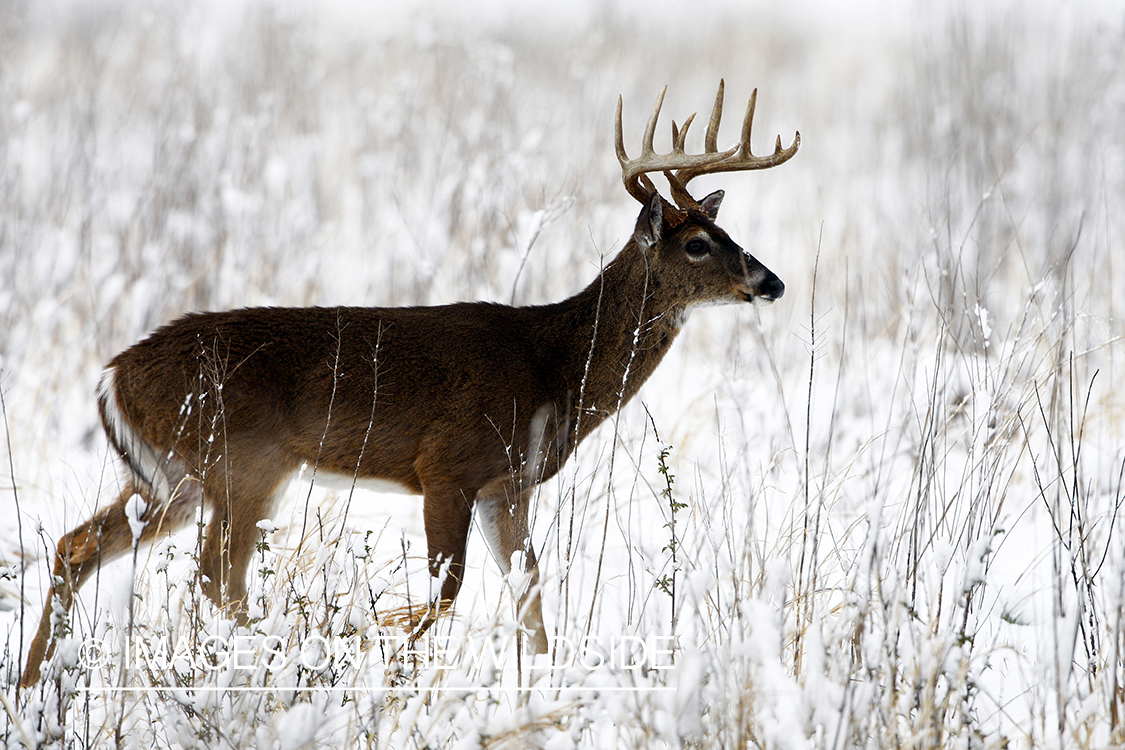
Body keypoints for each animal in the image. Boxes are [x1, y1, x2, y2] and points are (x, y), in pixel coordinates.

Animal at [20, 80, 798, 687]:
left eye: (726, 232)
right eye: (696, 244)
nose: (771, 282)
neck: (552, 368)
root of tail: (112, 377)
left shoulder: (506, 484)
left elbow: (530, 595)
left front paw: (539, 690)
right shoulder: (445, 466)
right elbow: (445, 593)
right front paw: (378, 638)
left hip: (171, 479)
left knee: (75, 547)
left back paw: (32, 688)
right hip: (242, 464)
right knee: (216, 578)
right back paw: (281, 655)